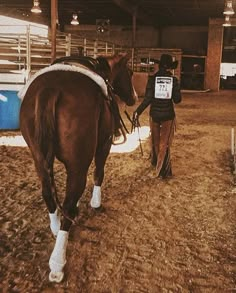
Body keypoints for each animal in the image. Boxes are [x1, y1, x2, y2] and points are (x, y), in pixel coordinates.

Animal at [19, 53, 137, 282]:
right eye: (130, 73)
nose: (135, 97)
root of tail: (51, 89)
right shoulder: (104, 145)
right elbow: (99, 173)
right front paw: (96, 203)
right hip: (78, 165)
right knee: (68, 201)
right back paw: (57, 263)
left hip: (39, 159)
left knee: (49, 194)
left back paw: (55, 228)